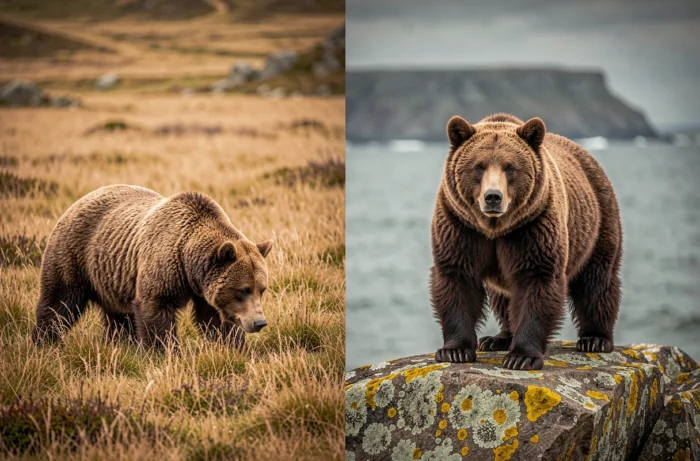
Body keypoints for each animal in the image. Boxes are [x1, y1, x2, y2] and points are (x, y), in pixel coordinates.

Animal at [32, 184, 274, 350]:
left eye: (261, 289)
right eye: (243, 289)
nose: (260, 322)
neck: (189, 266)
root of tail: (78, 201)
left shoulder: (205, 289)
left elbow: (216, 320)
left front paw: (233, 346)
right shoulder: (165, 267)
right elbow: (155, 308)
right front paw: (165, 352)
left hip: (112, 278)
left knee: (118, 317)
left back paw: (121, 343)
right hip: (73, 255)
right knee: (59, 301)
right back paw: (43, 340)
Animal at [430, 113, 622, 370]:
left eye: (510, 167)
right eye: (479, 166)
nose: (493, 197)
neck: (495, 229)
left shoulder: (534, 228)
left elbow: (537, 281)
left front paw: (522, 357)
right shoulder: (460, 226)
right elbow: (457, 278)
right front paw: (455, 351)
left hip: (598, 220)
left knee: (596, 280)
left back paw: (595, 338)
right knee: (503, 297)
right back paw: (497, 338)